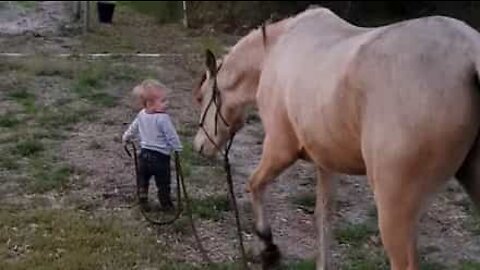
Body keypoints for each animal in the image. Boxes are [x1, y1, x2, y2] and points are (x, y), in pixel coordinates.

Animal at [193, 6, 480, 270]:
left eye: (201, 97)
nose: (199, 146)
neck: (275, 50)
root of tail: (469, 54)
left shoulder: (280, 149)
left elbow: (254, 184)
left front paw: (268, 248)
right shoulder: (325, 163)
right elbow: (323, 220)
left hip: (395, 208)